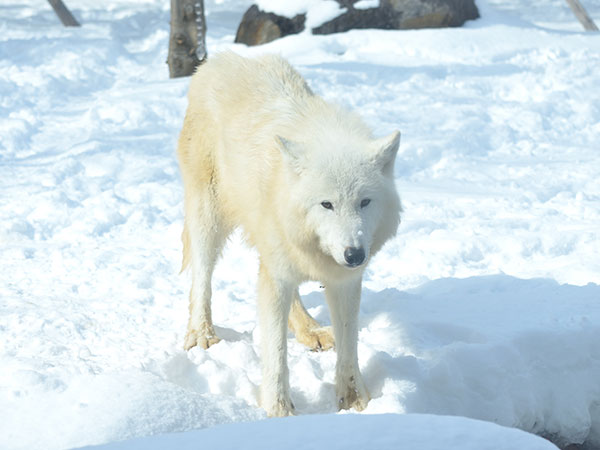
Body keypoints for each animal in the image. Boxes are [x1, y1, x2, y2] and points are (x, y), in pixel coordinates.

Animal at [178, 51, 404, 414]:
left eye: (365, 202)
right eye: (327, 204)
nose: (355, 255)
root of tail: (219, 59)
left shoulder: (344, 281)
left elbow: (349, 344)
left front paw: (356, 402)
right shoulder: (278, 274)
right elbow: (276, 351)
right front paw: (279, 409)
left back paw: (310, 329)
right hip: (208, 218)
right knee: (201, 277)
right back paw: (201, 335)